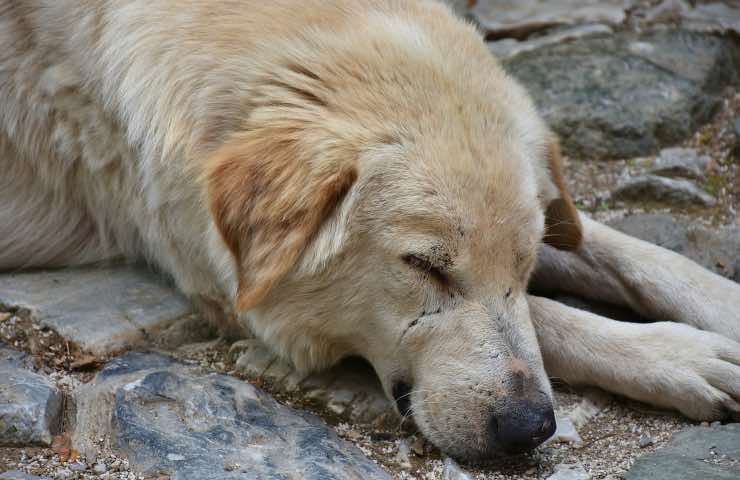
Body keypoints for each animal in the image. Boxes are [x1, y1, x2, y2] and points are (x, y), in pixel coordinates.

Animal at [1, 0, 740, 462]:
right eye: (424, 266)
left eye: (526, 264)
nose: (532, 427)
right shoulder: (210, 273)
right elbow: (556, 320)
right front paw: (676, 356)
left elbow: (625, 252)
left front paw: (721, 308)